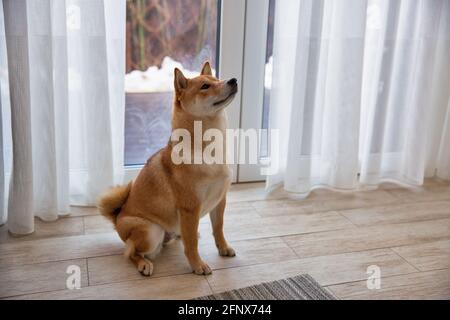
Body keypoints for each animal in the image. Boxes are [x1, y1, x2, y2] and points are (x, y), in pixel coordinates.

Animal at [97, 62, 239, 276]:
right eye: (205, 86)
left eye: (218, 79)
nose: (233, 80)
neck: (209, 150)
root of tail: (118, 218)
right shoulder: (190, 207)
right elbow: (192, 244)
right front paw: (198, 265)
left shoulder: (219, 200)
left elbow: (218, 228)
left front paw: (223, 248)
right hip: (151, 232)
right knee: (130, 252)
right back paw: (143, 264)